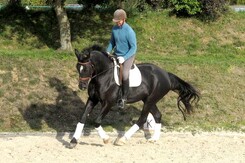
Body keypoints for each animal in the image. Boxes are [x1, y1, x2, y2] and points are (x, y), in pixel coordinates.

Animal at [68, 45, 199, 148]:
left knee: (142, 119)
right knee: (157, 115)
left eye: (86, 68)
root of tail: (166, 75)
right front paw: (73, 141)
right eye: (77, 67)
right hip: (148, 100)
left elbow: (96, 122)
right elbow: (82, 118)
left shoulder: (108, 103)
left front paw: (106, 139)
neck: (103, 75)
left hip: (150, 100)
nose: (82, 86)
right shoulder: (92, 99)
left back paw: (122, 139)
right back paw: (153, 139)